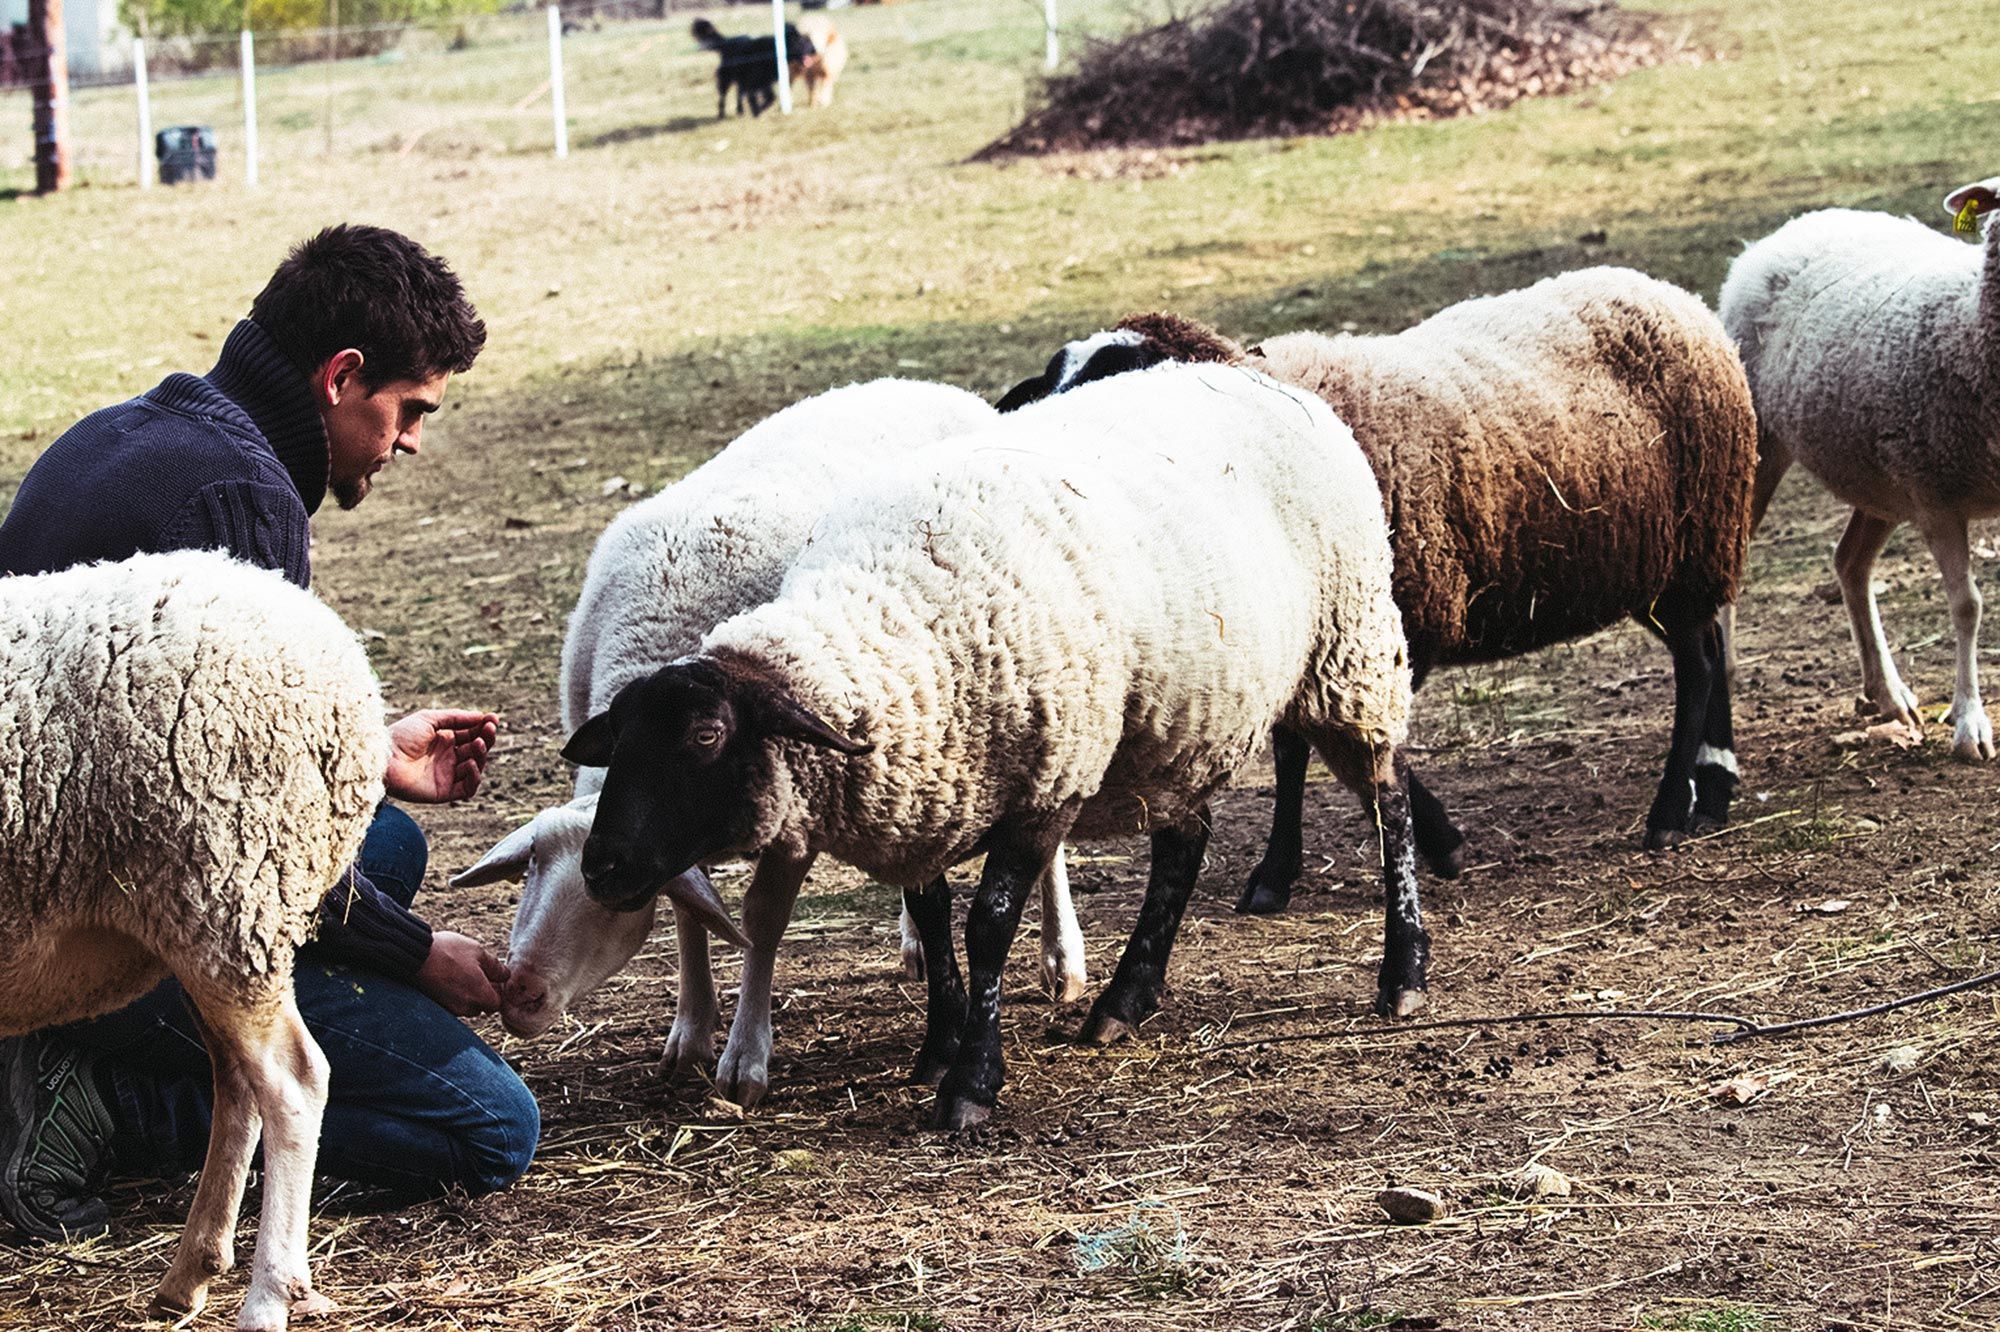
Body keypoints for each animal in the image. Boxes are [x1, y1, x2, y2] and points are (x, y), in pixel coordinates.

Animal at [0, 544, 388, 1320]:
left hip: (231, 890)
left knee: (293, 1083)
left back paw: (267, 1298)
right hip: (202, 921)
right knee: (237, 1086)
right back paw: (191, 1274)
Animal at [456, 378, 1088, 1104]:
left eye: (609, 906)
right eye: (530, 872)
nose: (516, 994)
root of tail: (924, 384)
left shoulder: (797, 807)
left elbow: (761, 919)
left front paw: (744, 1058)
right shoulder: (673, 831)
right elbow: (693, 914)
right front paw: (691, 1031)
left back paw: (1062, 959)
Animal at [564, 358, 1424, 1128]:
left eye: (706, 735)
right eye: (621, 739)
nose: (600, 866)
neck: (896, 613)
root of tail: (1265, 377)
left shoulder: (1045, 783)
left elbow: (986, 927)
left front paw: (970, 1083)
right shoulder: (930, 787)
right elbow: (935, 914)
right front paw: (939, 1047)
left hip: (1349, 654)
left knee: (1390, 804)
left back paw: (1403, 974)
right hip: (1179, 726)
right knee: (1186, 843)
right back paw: (1123, 1003)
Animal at [1008, 270, 1760, 912]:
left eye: (1120, 378)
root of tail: (1676, 296)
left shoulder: (1397, 621)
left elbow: (1352, 748)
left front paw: (1441, 844)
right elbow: (1294, 752)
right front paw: (1277, 874)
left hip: (1697, 545)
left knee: (1697, 667)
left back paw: (1670, 813)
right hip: (1660, 572)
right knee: (1710, 649)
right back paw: (1710, 794)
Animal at [1720, 178, 2000, 756]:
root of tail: (1796, 224)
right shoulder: (1936, 498)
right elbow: (1967, 606)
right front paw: (1970, 723)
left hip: (1879, 480)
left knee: (1850, 562)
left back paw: (1888, 693)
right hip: (1758, 440)